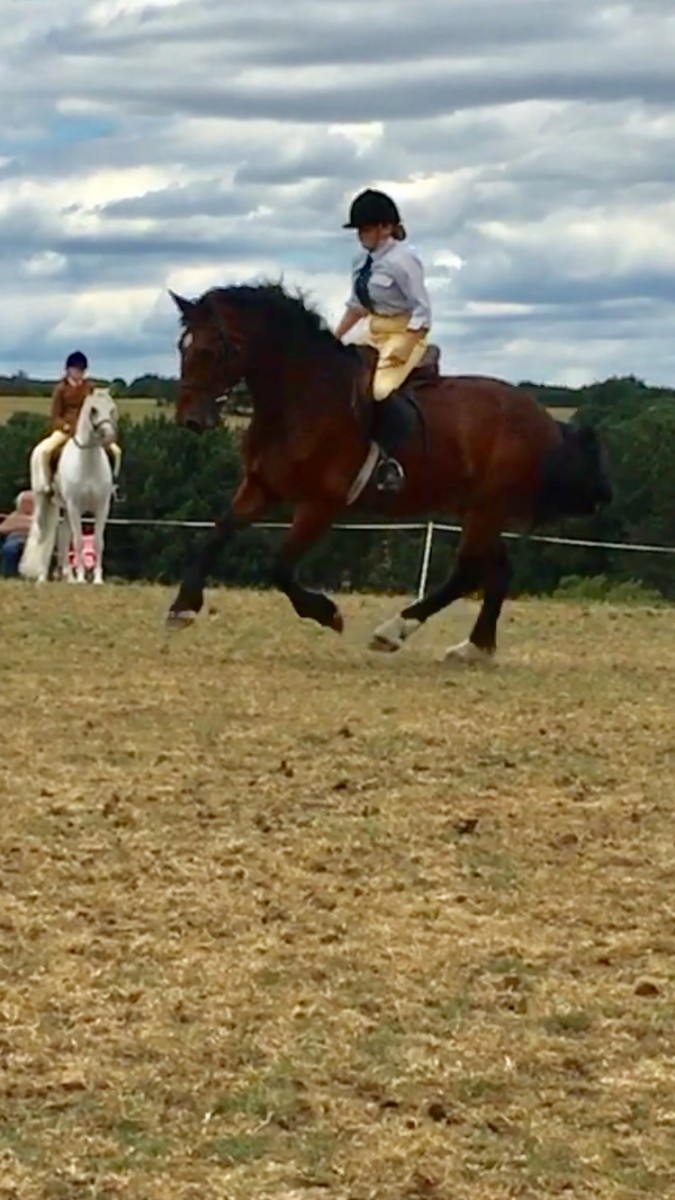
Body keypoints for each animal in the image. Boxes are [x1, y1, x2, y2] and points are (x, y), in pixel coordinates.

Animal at [20, 388, 118, 585]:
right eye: (93, 410)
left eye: (112, 408)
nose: (109, 435)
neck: (88, 463)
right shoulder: (75, 507)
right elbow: (79, 542)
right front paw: (81, 578)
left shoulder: (102, 507)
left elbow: (97, 542)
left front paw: (97, 580)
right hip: (45, 501)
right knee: (44, 535)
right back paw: (42, 577)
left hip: (64, 508)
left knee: (64, 536)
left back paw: (69, 577)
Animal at [164, 283, 611, 663]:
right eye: (182, 347)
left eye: (211, 350)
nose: (190, 420)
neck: (300, 399)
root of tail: (545, 420)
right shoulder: (261, 487)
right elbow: (217, 533)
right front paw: (182, 608)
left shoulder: (321, 504)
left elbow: (281, 566)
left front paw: (327, 613)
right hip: (476, 508)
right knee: (495, 569)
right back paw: (473, 647)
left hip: (487, 506)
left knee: (469, 570)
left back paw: (395, 631)